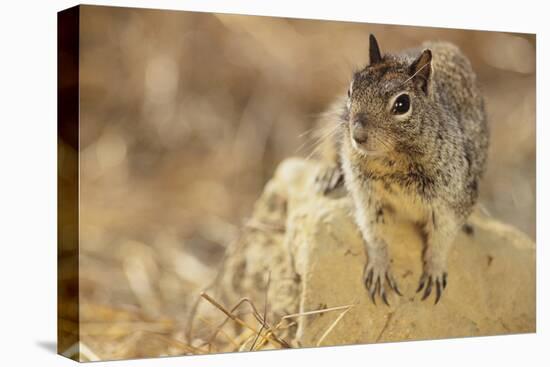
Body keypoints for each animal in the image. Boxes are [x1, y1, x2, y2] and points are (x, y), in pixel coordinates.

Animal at [314, 33, 492, 304]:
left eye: (402, 104)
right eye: (350, 90)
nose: (357, 135)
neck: (391, 160)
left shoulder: (451, 201)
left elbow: (441, 239)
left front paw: (434, 271)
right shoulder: (366, 196)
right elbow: (373, 233)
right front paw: (379, 268)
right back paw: (329, 173)